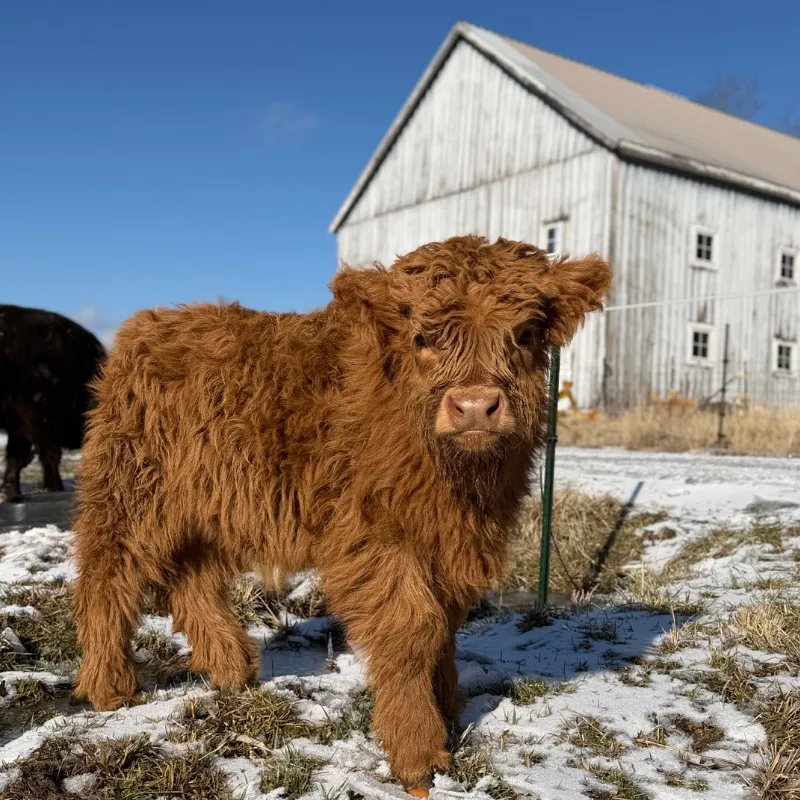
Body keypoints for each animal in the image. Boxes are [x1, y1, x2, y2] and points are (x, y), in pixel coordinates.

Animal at [72, 236, 611, 793]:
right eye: (422, 337)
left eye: (524, 333)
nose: (475, 406)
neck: (457, 483)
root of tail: (149, 323)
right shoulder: (375, 538)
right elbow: (413, 629)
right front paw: (417, 751)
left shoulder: (453, 542)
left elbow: (445, 628)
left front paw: (449, 711)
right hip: (131, 494)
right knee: (107, 578)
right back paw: (110, 687)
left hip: (207, 506)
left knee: (191, 581)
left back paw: (231, 668)